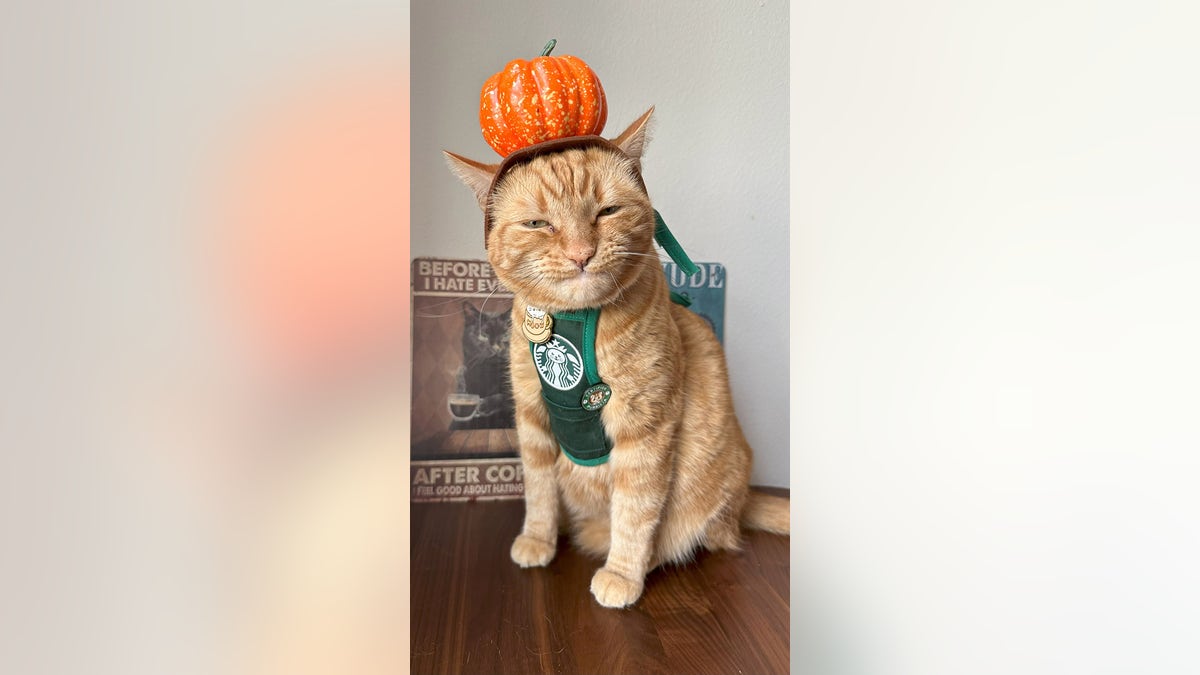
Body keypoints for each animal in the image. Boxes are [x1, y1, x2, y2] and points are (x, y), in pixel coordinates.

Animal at [446, 107, 792, 607]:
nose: (581, 254)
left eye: (607, 211)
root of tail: (745, 497)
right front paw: (538, 539)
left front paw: (623, 573)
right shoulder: (532, 419)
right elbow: (538, 491)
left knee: (703, 533)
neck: (576, 321)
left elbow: (635, 509)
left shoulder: (645, 429)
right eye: (538, 225)